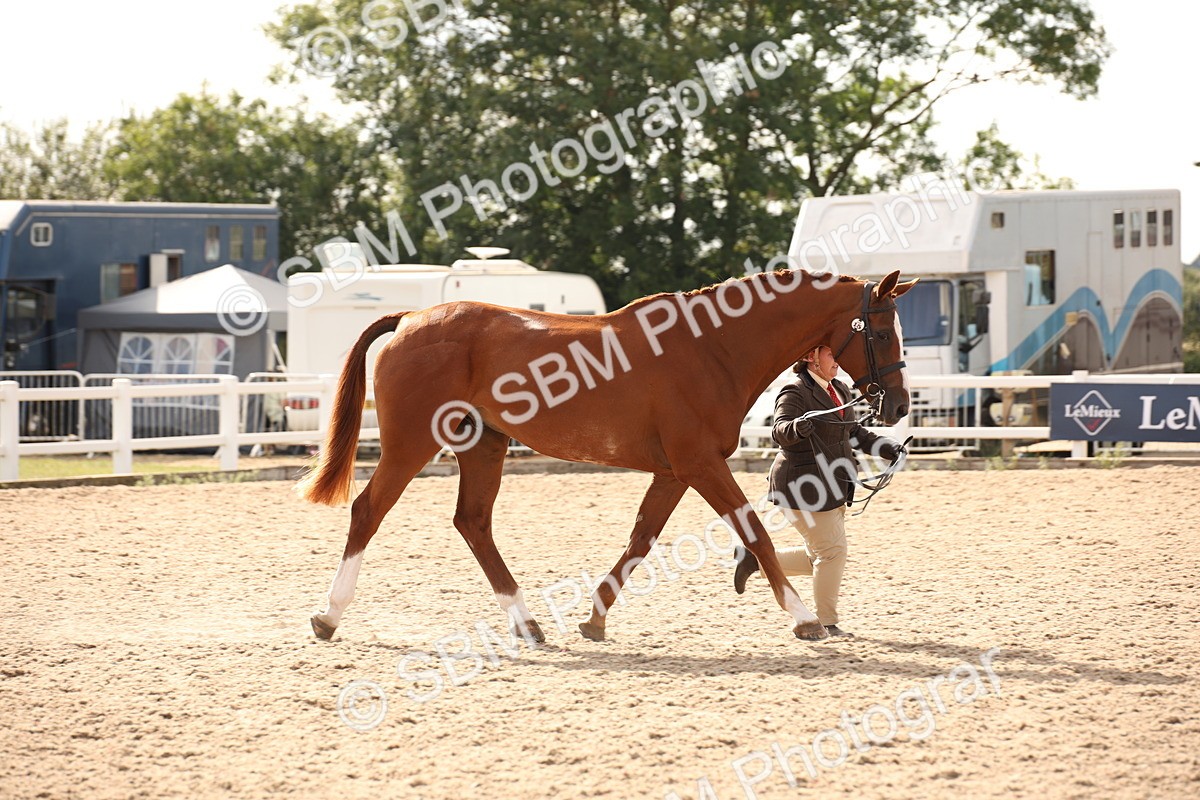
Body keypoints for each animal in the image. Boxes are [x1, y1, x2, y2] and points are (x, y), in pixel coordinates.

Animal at [298, 267, 915, 643]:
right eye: (883, 333)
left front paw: (594, 619)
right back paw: (327, 616)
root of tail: (409, 319)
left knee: (472, 522)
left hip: (484, 445)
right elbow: (755, 532)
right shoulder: (700, 465)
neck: (713, 349)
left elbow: (641, 539)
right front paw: (804, 618)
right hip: (412, 444)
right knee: (369, 512)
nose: (897, 405)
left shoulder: (675, 471)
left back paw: (527, 623)